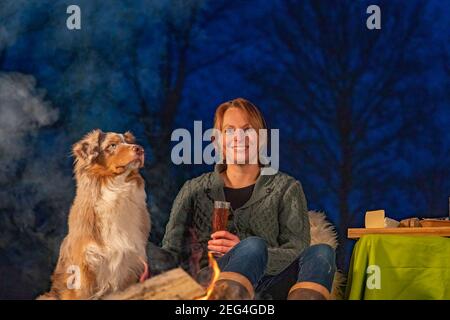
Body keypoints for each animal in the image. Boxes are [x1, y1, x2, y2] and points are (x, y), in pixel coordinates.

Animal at [38, 129, 151, 298]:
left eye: (130, 142)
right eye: (112, 145)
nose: (140, 149)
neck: (115, 188)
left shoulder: (129, 266)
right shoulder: (84, 271)